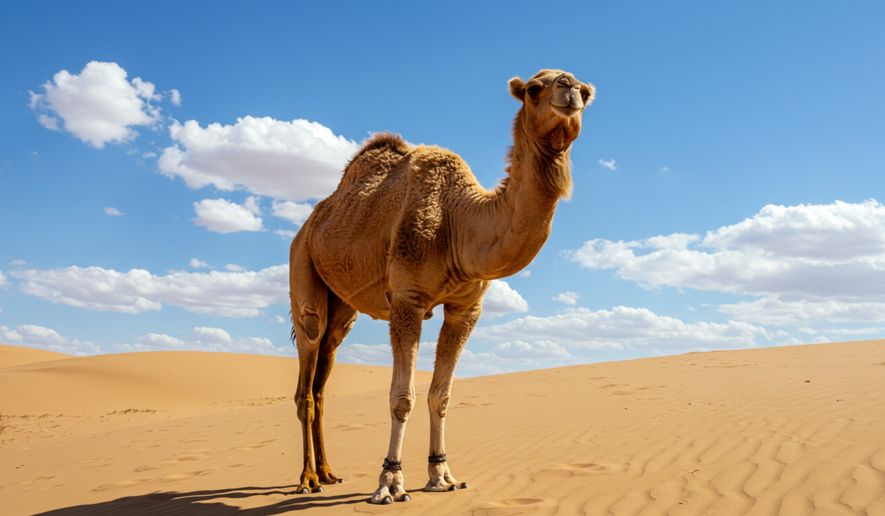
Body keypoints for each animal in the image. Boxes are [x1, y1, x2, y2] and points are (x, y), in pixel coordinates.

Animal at [288, 69, 595, 503]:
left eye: (586, 91)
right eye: (535, 89)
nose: (568, 88)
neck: (458, 222)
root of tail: (309, 224)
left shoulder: (466, 308)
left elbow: (441, 394)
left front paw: (442, 475)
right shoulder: (407, 300)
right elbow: (402, 397)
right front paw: (390, 482)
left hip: (342, 307)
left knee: (322, 378)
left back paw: (330, 473)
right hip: (303, 268)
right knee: (307, 369)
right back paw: (307, 478)